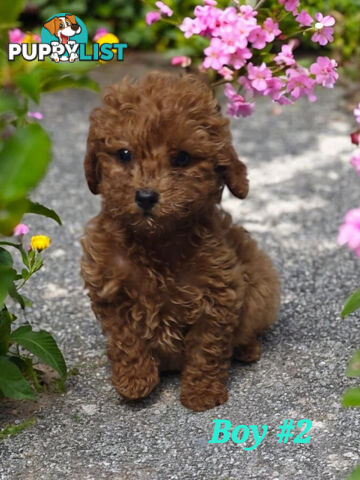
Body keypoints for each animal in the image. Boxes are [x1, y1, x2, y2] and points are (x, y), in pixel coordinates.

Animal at [81, 71, 282, 412]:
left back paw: (247, 349)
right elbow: (126, 339)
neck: (155, 241)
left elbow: (207, 347)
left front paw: (201, 392)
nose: (146, 196)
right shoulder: (108, 289)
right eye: (124, 154)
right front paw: (135, 381)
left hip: (260, 282)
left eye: (182, 158)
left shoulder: (217, 294)